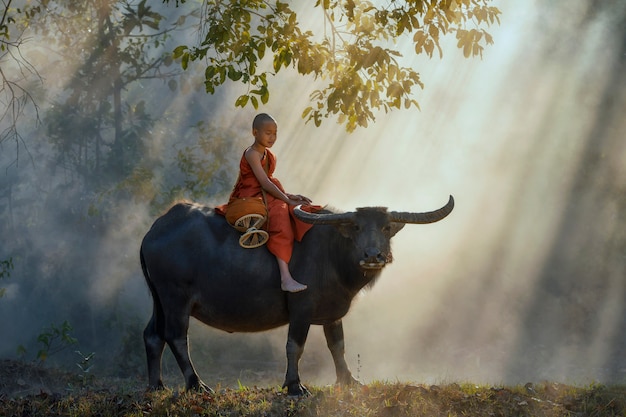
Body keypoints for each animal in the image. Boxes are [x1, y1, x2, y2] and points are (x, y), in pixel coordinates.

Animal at [140, 194, 454, 394]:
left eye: (386, 227)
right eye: (356, 226)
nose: (373, 256)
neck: (332, 254)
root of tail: (155, 230)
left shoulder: (332, 312)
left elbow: (337, 345)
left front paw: (348, 380)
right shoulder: (301, 309)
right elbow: (295, 346)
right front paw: (294, 385)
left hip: (158, 300)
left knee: (153, 335)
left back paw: (156, 386)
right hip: (175, 298)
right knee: (176, 337)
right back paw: (196, 384)